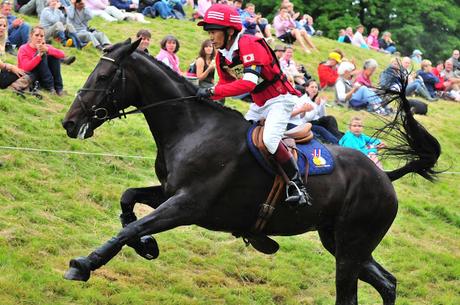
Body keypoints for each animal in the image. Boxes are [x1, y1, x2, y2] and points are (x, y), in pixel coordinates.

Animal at [60, 39, 438, 302]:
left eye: (104, 76)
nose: (70, 122)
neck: (192, 128)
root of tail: (383, 177)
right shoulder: (169, 192)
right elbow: (128, 201)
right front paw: (146, 245)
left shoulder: (187, 205)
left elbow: (131, 227)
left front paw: (84, 264)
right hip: (340, 241)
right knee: (387, 283)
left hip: (350, 246)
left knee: (354, 293)